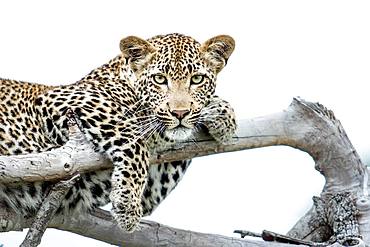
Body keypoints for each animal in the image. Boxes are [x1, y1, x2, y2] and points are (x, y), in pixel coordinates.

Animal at [0, 32, 237, 232]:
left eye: (197, 79)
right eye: (159, 79)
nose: (180, 112)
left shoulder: (149, 186)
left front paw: (223, 116)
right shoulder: (62, 101)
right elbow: (133, 138)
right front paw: (127, 203)